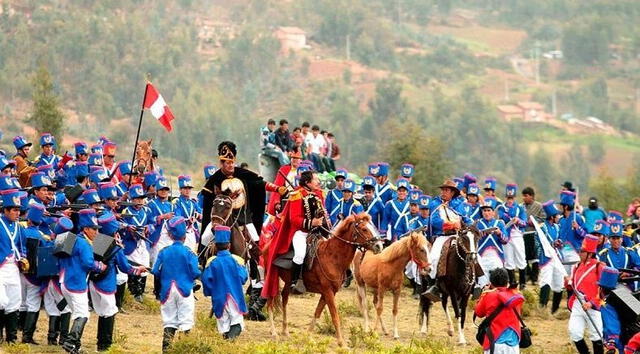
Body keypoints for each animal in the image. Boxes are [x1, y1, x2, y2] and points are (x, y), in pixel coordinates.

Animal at [266, 213, 384, 346]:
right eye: (364, 229)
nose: (379, 246)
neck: (333, 256)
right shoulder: (328, 292)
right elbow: (334, 316)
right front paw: (342, 343)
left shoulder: (327, 293)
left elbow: (317, 312)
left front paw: (308, 336)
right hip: (271, 279)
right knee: (269, 303)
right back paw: (274, 332)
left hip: (287, 283)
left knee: (284, 300)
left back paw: (285, 330)